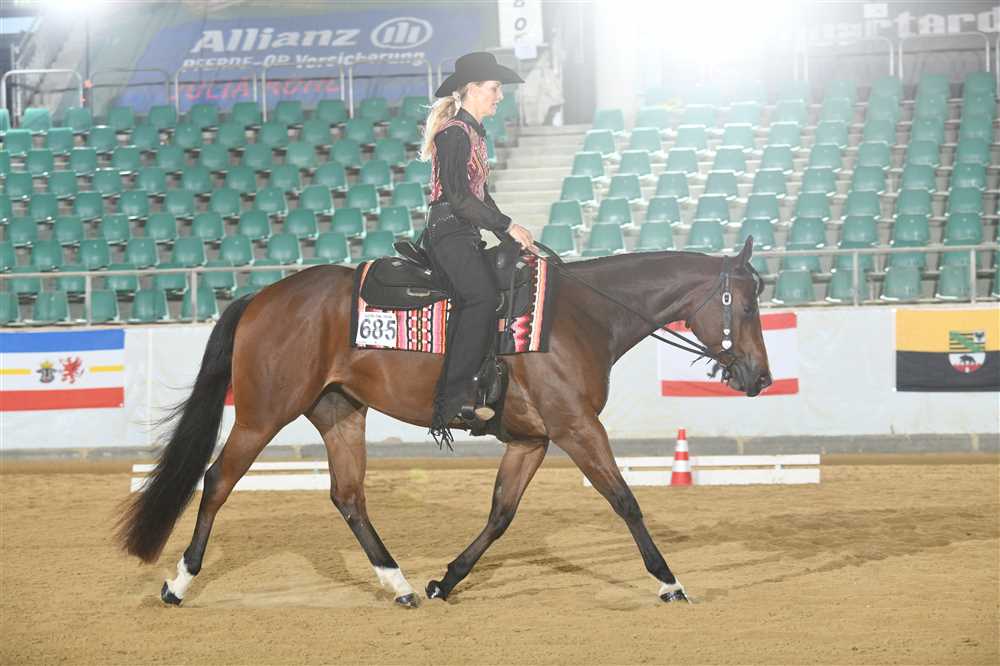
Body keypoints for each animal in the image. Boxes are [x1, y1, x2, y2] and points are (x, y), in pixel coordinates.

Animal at [117, 236, 771, 608]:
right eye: (744, 304)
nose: (760, 377)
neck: (580, 315)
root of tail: (261, 297)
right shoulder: (577, 428)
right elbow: (626, 501)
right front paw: (669, 582)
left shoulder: (533, 440)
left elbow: (501, 515)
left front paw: (446, 581)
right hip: (260, 415)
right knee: (216, 483)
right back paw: (179, 584)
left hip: (340, 414)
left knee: (348, 498)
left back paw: (401, 585)